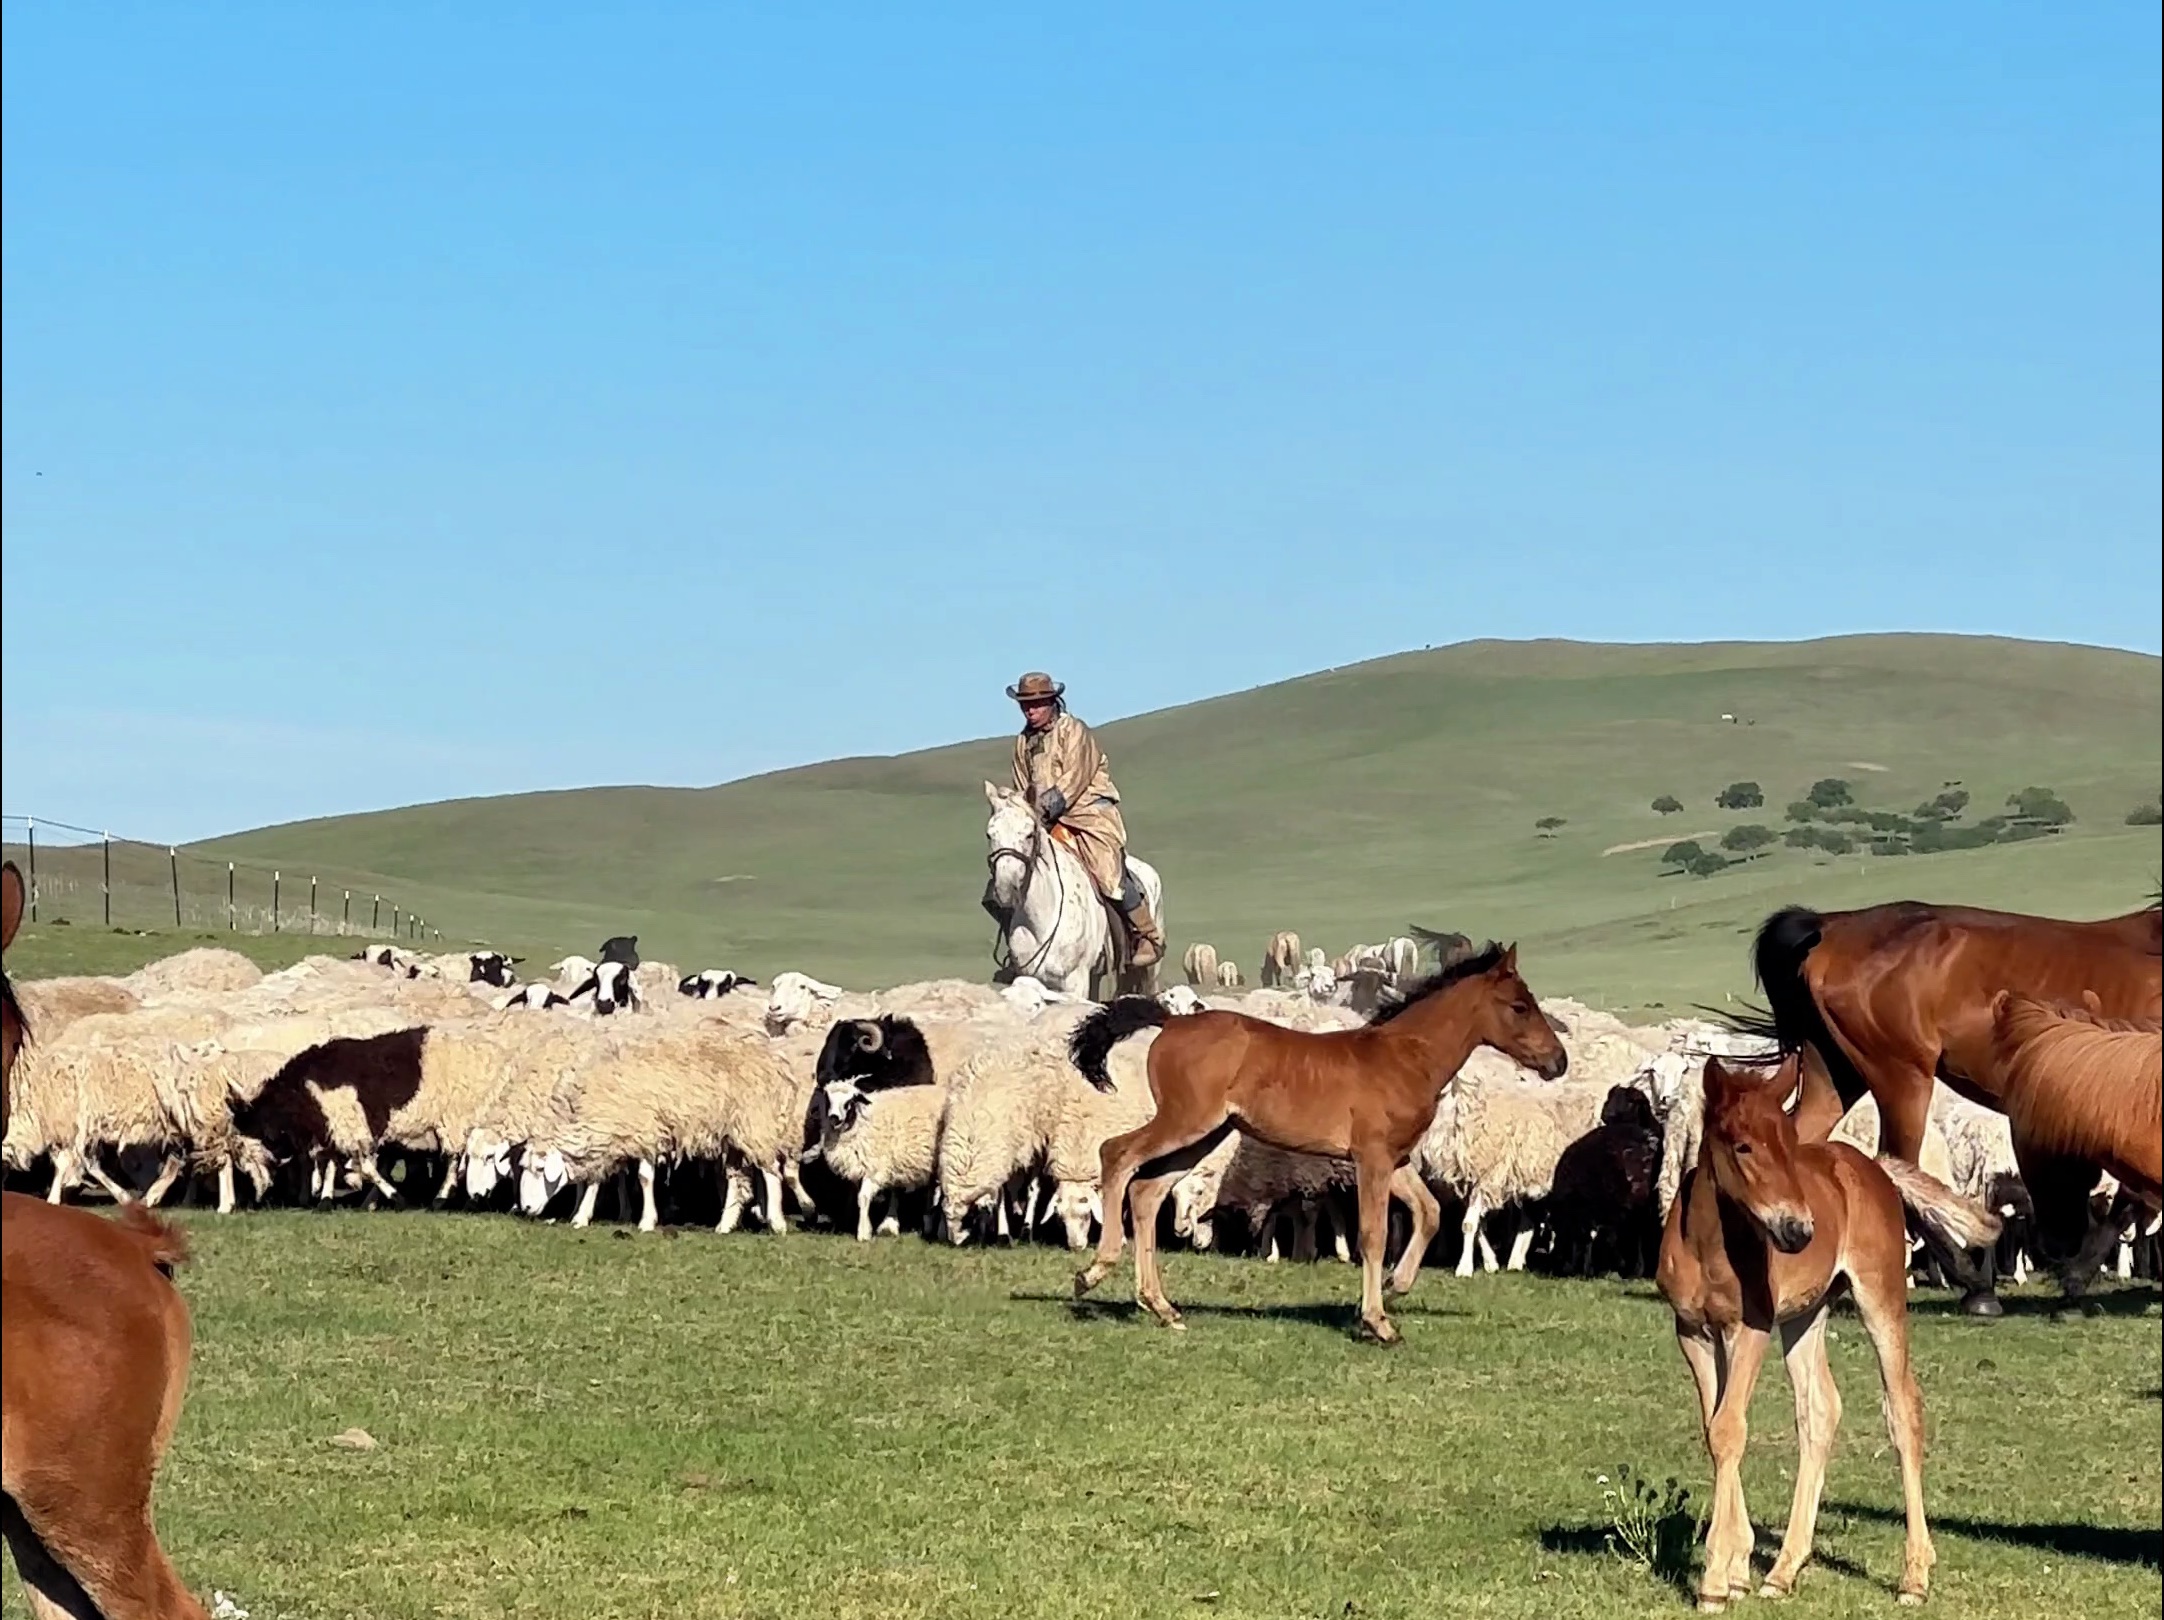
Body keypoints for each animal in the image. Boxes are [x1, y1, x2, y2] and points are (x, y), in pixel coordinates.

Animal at [1060, 934, 1558, 1340]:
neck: (1404, 1057)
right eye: (1519, 1007)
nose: (1559, 1061)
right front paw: (1377, 1321)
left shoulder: (1394, 1159)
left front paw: (1397, 1285)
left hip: (1207, 1134)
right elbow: (1372, 1234)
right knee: (1116, 1154)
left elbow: (1430, 1212)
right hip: (1185, 1121)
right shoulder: (1370, 1158)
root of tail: (1169, 1022)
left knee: (1146, 1191)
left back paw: (1160, 1306)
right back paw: (1093, 1273)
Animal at [1661, 1051, 1999, 1609]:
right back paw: (1782, 1571)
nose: (1798, 1231)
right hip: (1805, 1314)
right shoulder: (1694, 1332)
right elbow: (1717, 1429)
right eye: (1743, 1145)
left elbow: (1730, 1429)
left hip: (1880, 1296)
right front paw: (1737, 1568)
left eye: (1789, 1144)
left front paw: (1714, 1580)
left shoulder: (1751, 1327)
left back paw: (1914, 1576)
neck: (1707, 1245)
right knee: (1820, 1409)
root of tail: (1873, 1166)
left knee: (1903, 1409)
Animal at [1748, 895, 2155, 1315]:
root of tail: (1831, 925)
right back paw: (1976, 1286)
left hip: (1833, 1069)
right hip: (1902, 1075)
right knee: (1899, 1168)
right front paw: (2076, 1277)